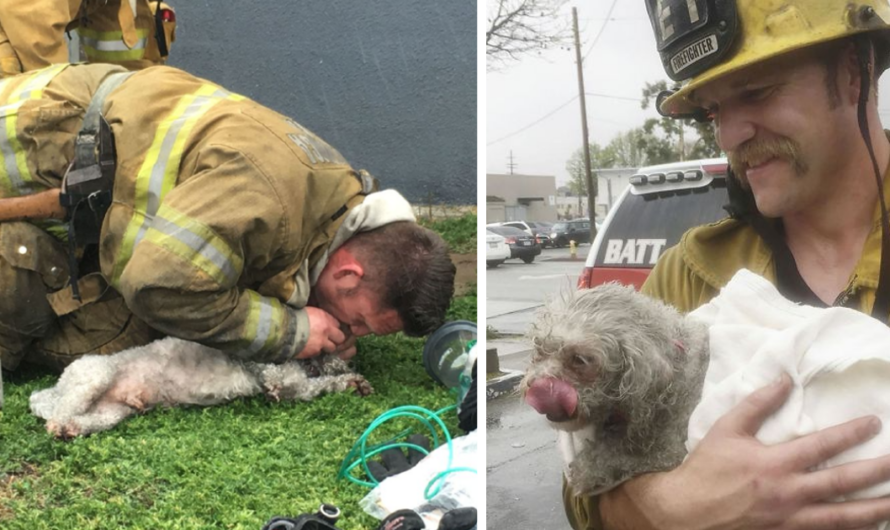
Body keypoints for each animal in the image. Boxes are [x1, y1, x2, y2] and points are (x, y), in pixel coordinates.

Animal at [30, 334, 372, 438]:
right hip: (93, 376)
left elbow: (320, 385)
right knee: (57, 413)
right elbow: (283, 378)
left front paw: (353, 384)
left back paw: (72, 430)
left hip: (111, 413)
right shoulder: (277, 375)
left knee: (83, 420)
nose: (351, 363)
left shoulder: (299, 388)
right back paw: (58, 427)